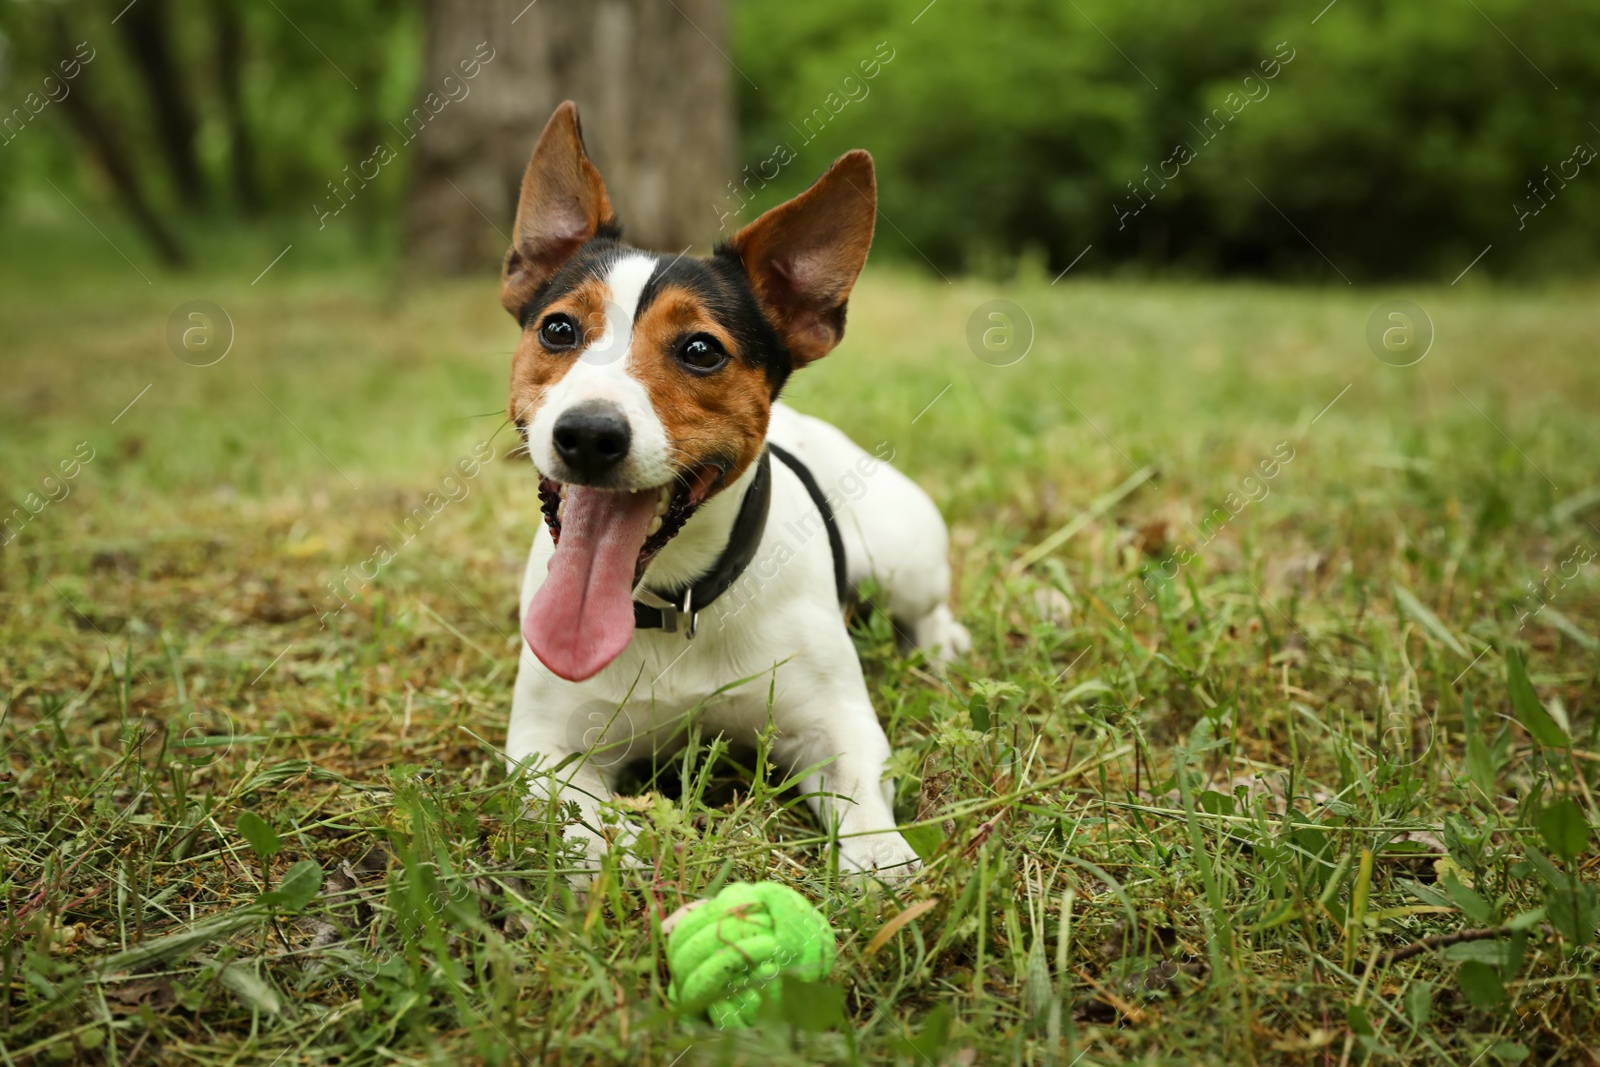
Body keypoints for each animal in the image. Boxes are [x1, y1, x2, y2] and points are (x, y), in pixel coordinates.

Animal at [505, 103, 966, 883]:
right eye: (558, 329)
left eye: (701, 349)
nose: (589, 434)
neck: (671, 602)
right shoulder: (541, 745)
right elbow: (576, 815)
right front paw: (617, 851)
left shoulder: (836, 724)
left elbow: (862, 794)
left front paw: (883, 862)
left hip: (905, 559)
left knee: (927, 610)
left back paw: (943, 647)